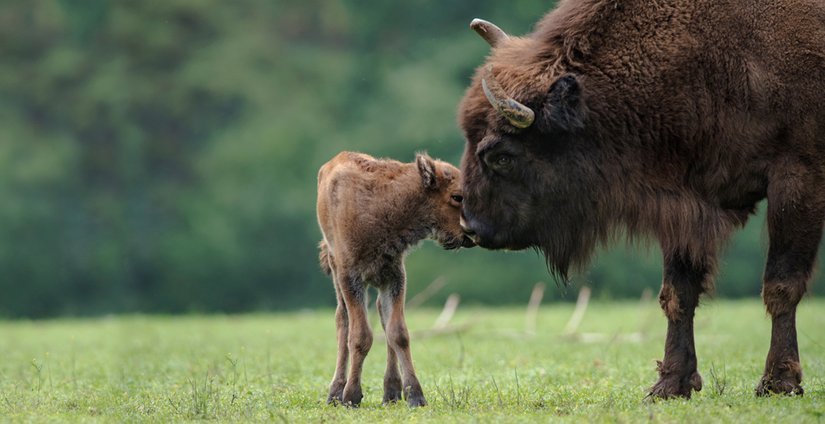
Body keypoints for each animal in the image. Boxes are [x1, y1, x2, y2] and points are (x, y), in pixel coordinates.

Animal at [316, 151, 470, 406]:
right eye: (457, 196)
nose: (471, 233)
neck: (384, 202)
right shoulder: (351, 277)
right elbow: (360, 336)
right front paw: (351, 396)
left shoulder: (394, 277)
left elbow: (398, 333)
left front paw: (415, 396)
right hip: (336, 269)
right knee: (342, 320)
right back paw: (335, 392)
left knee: (381, 316)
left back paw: (391, 392)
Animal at [458, 0, 824, 400]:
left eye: (501, 156)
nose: (471, 227)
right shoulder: (685, 205)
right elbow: (678, 293)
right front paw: (671, 384)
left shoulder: (798, 177)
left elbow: (781, 284)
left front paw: (779, 382)